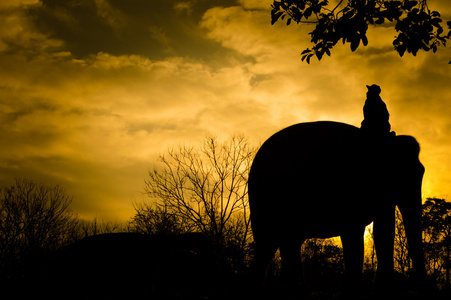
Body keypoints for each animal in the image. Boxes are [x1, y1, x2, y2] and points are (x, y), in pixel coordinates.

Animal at [249, 121, 426, 292]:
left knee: (280, 243)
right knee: (275, 242)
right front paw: (355, 290)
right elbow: (359, 231)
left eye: (422, 172)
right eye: (400, 174)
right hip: (268, 199)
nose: (416, 286)